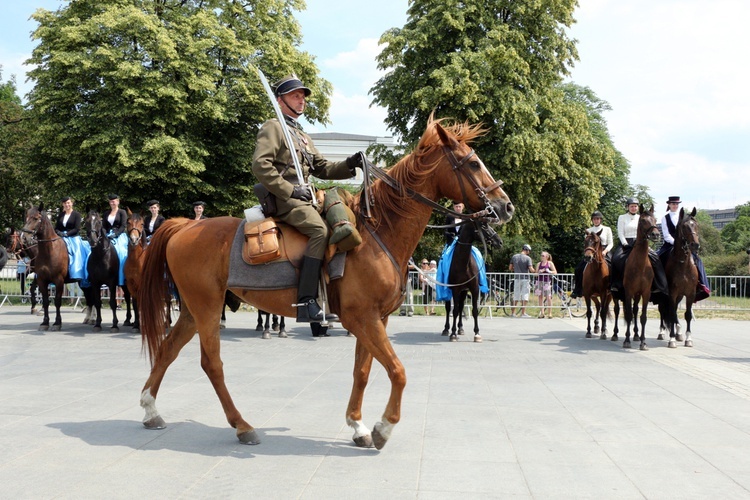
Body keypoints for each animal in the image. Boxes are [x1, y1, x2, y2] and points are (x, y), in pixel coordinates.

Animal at [138, 118, 516, 450]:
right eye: (472, 163)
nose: (506, 206)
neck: (377, 234)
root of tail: (186, 226)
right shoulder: (362, 318)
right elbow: (398, 371)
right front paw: (383, 427)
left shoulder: (375, 319)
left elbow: (363, 371)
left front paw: (358, 425)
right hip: (206, 308)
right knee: (211, 364)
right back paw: (242, 426)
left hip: (192, 310)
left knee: (168, 349)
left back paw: (150, 409)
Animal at [620, 205, 660, 350]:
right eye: (642, 220)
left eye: (655, 219)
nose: (655, 234)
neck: (640, 265)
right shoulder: (628, 292)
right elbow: (628, 315)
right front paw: (626, 340)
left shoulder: (646, 293)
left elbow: (643, 316)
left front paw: (643, 342)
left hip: (637, 294)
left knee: (636, 310)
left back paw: (636, 335)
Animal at [664, 207, 704, 348]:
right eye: (684, 227)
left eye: (696, 225)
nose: (695, 245)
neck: (683, 263)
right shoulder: (672, 293)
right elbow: (671, 313)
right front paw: (671, 339)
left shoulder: (690, 293)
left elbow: (687, 315)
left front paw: (688, 339)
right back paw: (663, 332)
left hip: (680, 295)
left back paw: (679, 333)